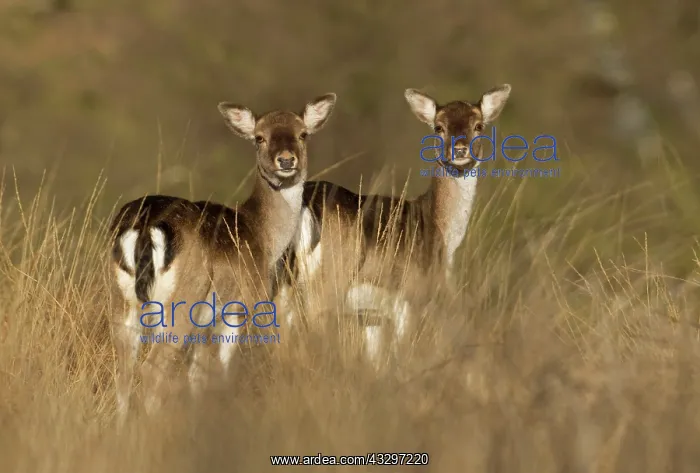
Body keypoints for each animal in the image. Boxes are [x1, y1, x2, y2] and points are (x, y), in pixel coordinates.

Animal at [108, 93, 337, 422]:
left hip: (122, 301)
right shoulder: (242, 305)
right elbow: (225, 369)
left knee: (123, 373)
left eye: (302, 134)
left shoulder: (205, 322)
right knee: (152, 369)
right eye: (259, 137)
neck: (262, 237)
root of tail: (144, 226)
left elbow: (198, 376)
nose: (285, 160)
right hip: (181, 300)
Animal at [275, 84, 511, 367]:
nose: (460, 150)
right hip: (325, 284)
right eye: (438, 127)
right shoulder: (411, 298)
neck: (439, 230)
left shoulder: (372, 316)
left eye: (478, 125)